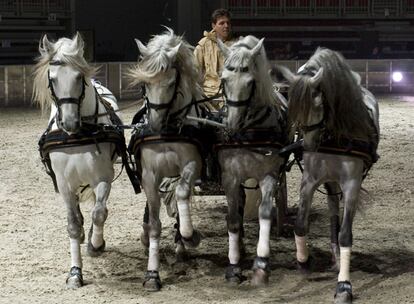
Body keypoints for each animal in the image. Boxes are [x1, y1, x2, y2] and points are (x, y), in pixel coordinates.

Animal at [33, 32, 126, 288]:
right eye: (52, 79)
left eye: (79, 76)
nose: (70, 123)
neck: (79, 135)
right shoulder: (65, 185)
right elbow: (73, 225)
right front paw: (75, 272)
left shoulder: (103, 178)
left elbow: (100, 213)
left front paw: (95, 244)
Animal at [127, 28, 203, 292]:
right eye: (145, 84)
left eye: (171, 83)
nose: (154, 124)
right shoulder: (149, 175)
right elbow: (155, 224)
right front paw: (152, 273)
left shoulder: (192, 166)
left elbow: (181, 196)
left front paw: (190, 236)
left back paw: (181, 243)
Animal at [217, 35, 292, 284]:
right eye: (224, 80)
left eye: (251, 82)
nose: (232, 126)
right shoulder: (230, 177)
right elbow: (232, 218)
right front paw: (233, 265)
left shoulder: (269, 175)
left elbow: (265, 214)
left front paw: (261, 264)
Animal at [276, 47, 380, 304]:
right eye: (293, 105)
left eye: (318, 103)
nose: (308, 146)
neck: (333, 135)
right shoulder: (310, 181)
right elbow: (300, 224)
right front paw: (304, 262)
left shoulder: (352, 184)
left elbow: (346, 234)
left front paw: (344, 285)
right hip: (331, 182)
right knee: (333, 209)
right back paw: (334, 255)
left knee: (339, 215)